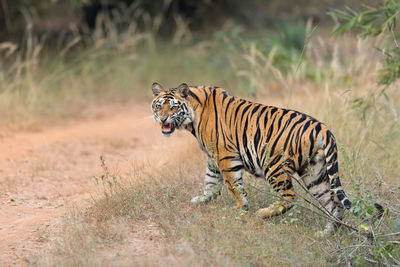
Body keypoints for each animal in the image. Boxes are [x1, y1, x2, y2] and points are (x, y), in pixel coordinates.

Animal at [151, 82, 354, 236]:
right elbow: (211, 181)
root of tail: (323, 128)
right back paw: (326, 232)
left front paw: (241, 208)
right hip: (314, 173)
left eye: (174, 107)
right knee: (333, 203)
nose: (163, 119)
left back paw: (262, 213)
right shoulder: (212, 157)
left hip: (274, 165)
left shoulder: (225, 156)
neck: (193, 116)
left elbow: (234, 185)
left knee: (290, 197)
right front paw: (202, 199)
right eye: (158, 106)